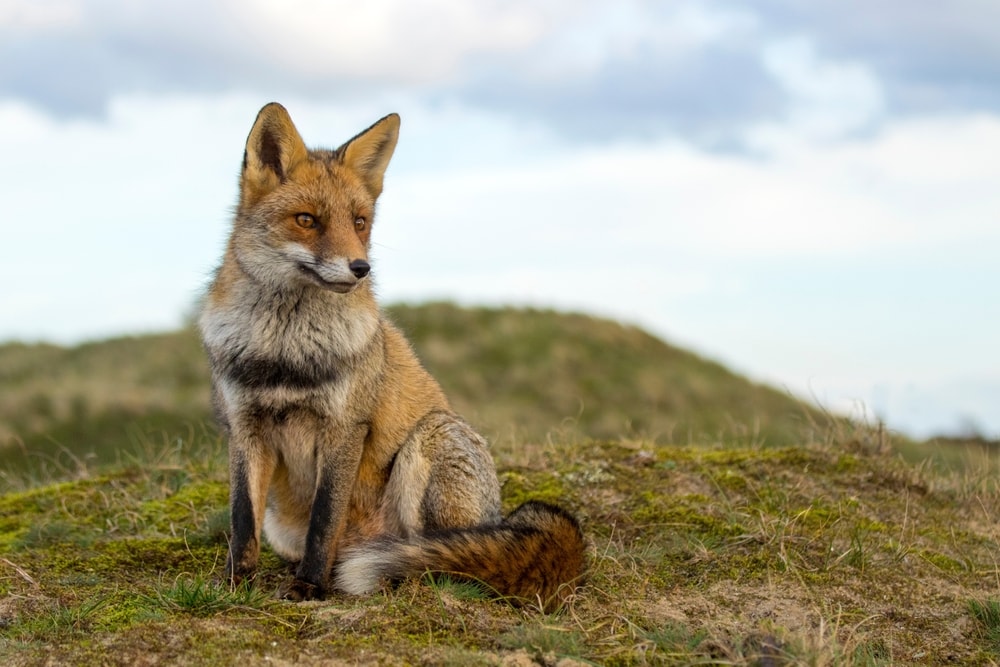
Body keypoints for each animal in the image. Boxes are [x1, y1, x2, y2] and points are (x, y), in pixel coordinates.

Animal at [198, 102, 585, 611]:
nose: (361, 268)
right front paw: (235, 583)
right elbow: (242, 521)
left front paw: (309, 587)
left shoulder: (345, 425)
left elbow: (324, 520)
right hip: (283, 525)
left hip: (431, 443)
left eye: (359, 222)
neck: (286, 351)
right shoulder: (244, 426)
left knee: (439, 563)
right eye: (307, 220)